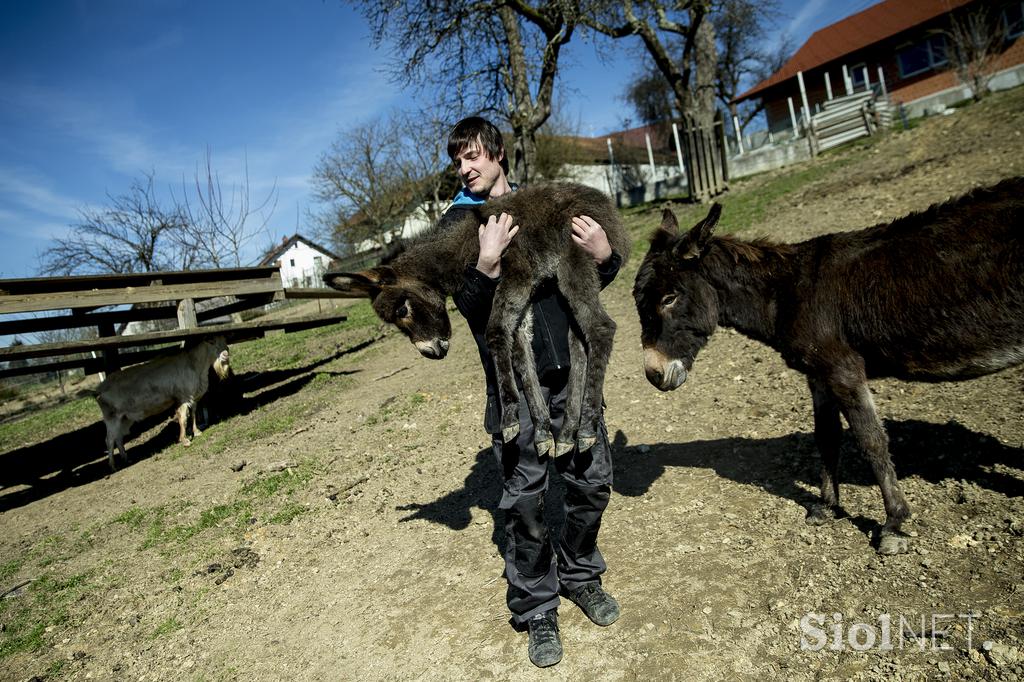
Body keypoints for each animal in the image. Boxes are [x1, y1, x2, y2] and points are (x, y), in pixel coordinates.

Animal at [95, 333, 231, 466]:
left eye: (224, 340)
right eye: (212, 342)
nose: (225, 355)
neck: (193, 364)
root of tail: (99, 389)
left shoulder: (193, 397)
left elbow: (193, 414)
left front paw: (196, 432)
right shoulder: (183, 397)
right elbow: (183, 418)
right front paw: (184, 440)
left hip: (124, 418)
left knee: (118, 437)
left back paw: (125, 458)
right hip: (111, 417)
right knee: (109, 439)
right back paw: (113, 466)